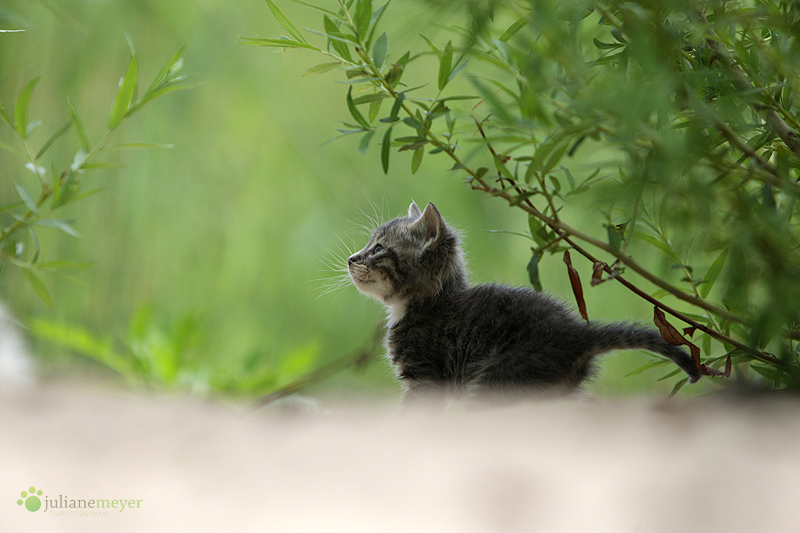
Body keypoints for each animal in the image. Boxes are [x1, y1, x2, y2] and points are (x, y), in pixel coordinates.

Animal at [350, 202, 700, 402]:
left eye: (377, 249)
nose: (352, 259)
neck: (425, 303)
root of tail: (578, 334)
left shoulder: (425, 378)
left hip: (497, 379)